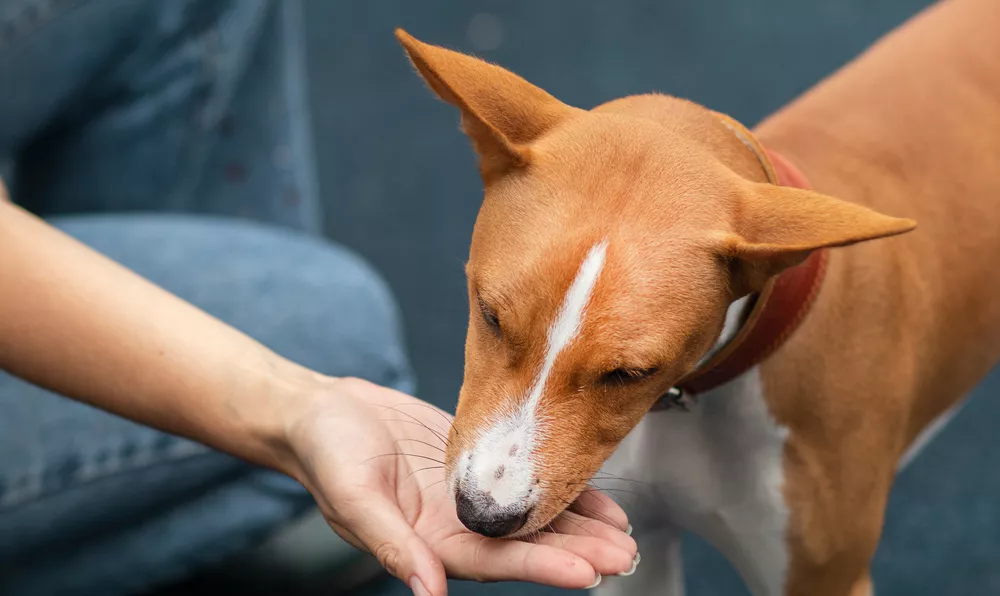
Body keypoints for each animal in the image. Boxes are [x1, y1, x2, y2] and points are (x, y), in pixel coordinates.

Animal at [394, 2, 1000, 592]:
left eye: (630, 374)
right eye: (490, 316)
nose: (483, 514)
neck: (690, 399)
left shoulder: (824, 580)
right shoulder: (636, 553)